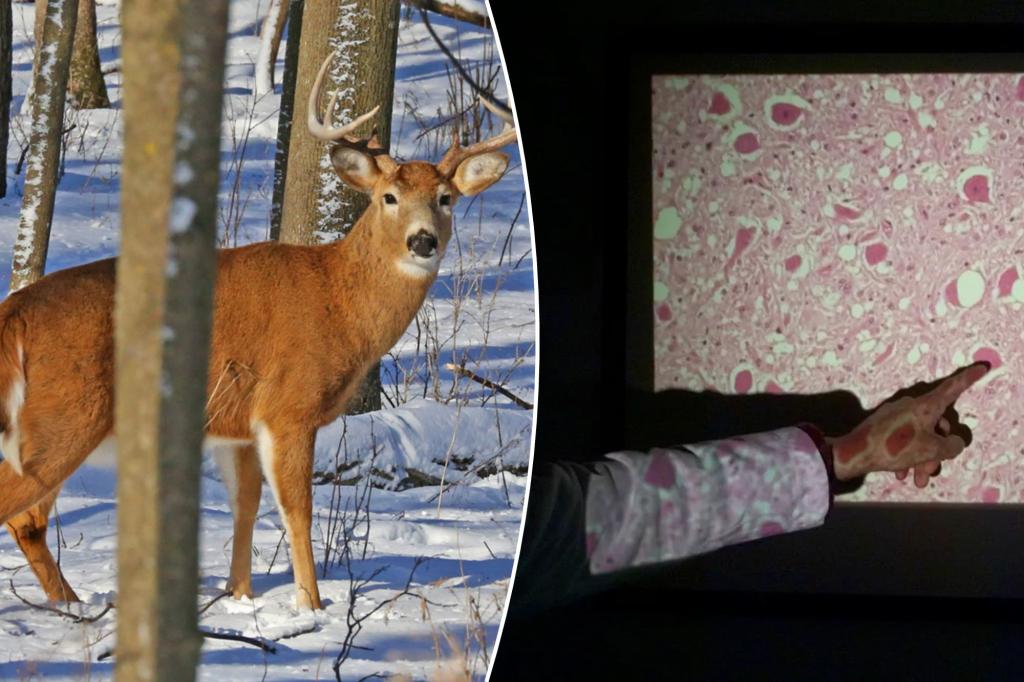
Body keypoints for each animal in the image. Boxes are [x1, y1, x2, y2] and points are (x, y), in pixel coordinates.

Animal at [0, 52, 518, 611]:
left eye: (445, 198)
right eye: (388, 197)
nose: (422, 241)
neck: (336, 300)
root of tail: (15, 313)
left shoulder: (236, 424)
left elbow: (245, 505)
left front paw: (239, 595)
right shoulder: (288, 406)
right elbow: (297, 510)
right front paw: (310, 604)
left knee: (28, 520)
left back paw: (72, 602)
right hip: (64, 416)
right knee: (22, 511)